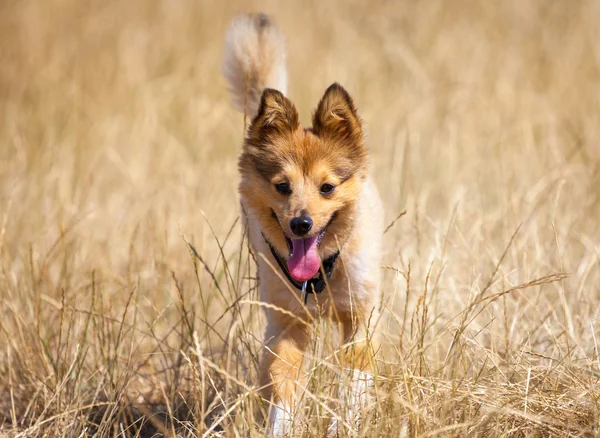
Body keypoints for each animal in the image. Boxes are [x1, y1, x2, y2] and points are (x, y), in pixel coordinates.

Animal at [223, 12, 382, 434]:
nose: (301, 224)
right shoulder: (287, 325)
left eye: (328, 187)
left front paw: (344, 426)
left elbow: (353, 387)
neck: (321, 274)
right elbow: (283, 386)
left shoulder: (359, 319)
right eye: (282, 186)